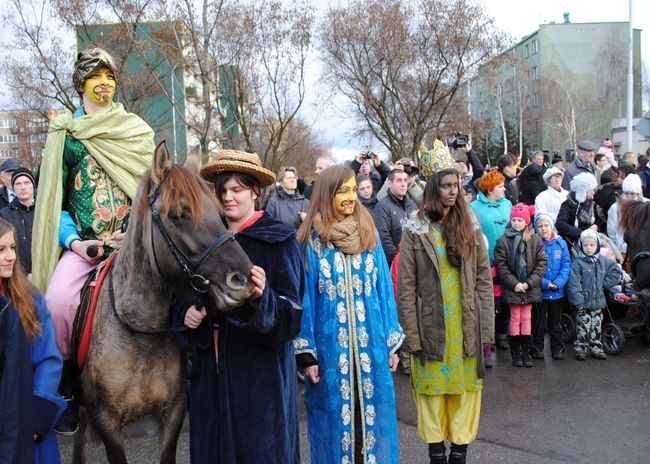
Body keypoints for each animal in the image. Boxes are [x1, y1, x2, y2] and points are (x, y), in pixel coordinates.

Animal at [71, 142, 253, 464]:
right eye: (179, 215)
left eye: (221, 214)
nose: (242, 279)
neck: (141, 334)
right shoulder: (106, 422)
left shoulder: (174, 412)